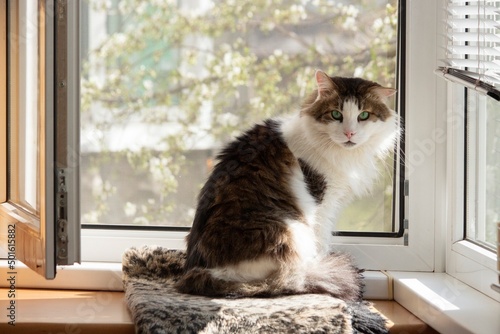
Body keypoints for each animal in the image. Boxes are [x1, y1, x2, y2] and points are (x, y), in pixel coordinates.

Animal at [176, 69, 398, 302]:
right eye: (336, 114)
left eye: (363, 115)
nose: (349, 133)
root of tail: (199, 270)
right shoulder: (324, 204)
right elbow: (322, 241)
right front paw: (322, 264)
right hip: (291, 230)